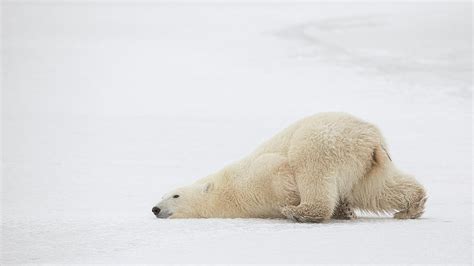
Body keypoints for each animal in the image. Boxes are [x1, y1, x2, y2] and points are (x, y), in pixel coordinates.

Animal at [154, 112, 428, 222]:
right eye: (161, 195)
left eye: (174, 195)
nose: (155, 208)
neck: (225, 191)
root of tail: (370, 136)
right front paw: (346, 210)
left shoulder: (253, 177)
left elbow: (278, 169)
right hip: (365, 164)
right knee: (376, 189)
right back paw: (411, 208)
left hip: (324, 141)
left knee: (312, 169)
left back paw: (299, 212)